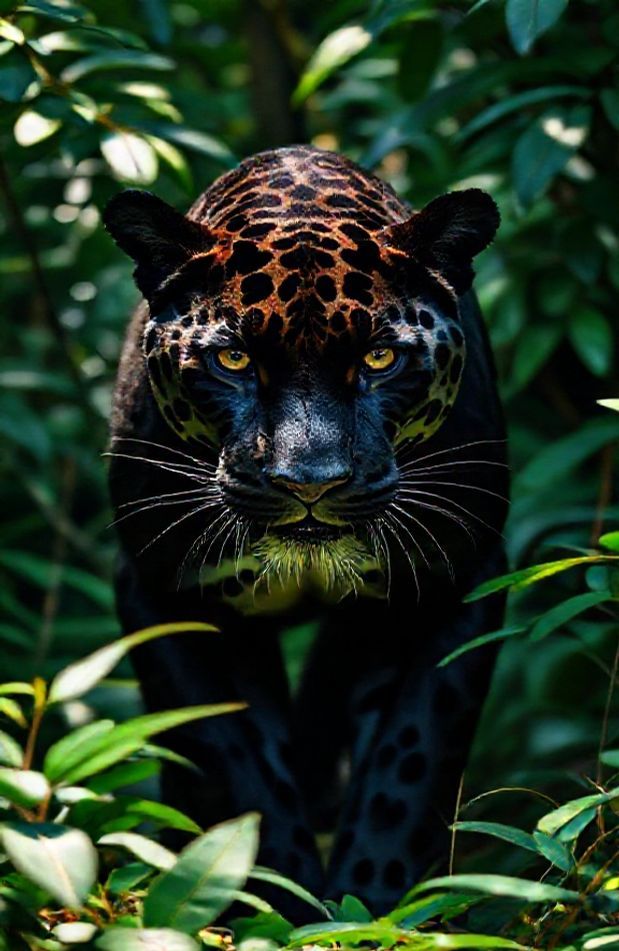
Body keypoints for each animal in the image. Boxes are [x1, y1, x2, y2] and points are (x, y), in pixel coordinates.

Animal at [104, 144, 509, 918]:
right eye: (232, 359)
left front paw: (371, 905)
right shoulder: (162, 590)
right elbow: (233, 763)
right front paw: (279, 904)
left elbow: (409, 762)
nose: (310, 480)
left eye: (380, 358)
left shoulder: (460, 580)